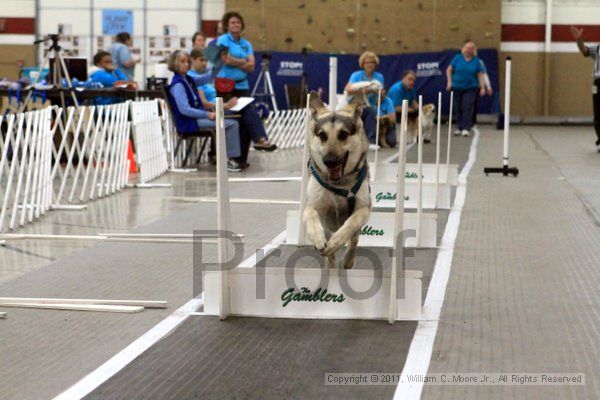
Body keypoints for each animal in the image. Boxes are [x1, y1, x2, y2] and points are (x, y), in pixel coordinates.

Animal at [304, 90, 370, 268]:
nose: (330, 162)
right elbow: (311, 214)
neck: (339, 184)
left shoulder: (364, 208)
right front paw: (318, 239)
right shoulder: (313, 207)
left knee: (354, 240)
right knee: (331, 259)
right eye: (322, 135)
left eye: (343, 134)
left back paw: (347, 260)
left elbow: (351, 223)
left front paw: (336, 242)